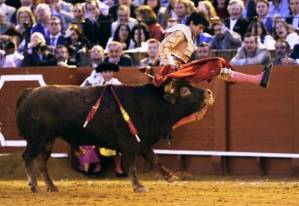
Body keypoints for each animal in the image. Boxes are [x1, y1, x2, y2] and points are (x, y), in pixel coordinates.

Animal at [15, 79, 213, 192]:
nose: (208, 92)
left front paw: (170, 176)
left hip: (48, 140)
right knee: (28, 158)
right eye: (184, 91)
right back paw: (34, 186)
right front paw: (139, 186)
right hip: (37, 139)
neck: (151, 104)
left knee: (42, 162)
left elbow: (154, 159)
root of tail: (28, 93)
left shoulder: (143, 142)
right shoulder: (130, 144)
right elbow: (131, 166)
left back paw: (51, 186)